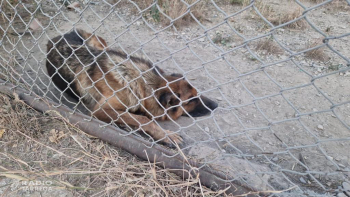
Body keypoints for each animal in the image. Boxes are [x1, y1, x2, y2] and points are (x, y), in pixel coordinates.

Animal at [45, 28, 217, 146]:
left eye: (197, 93)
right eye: (191, 100)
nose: (216, 105)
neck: (143, 83)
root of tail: (54, 38)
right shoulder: (101, 110)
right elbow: (143, 119)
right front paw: (166, 135)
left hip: (99, 43)